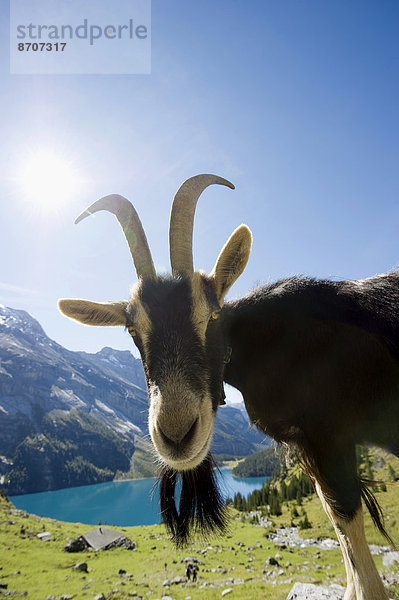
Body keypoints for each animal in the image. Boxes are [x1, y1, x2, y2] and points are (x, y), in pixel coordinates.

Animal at [59, 175, 399, 600]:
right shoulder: (308, 446)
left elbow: (348, 523)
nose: (177, 434)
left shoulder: (330, 435)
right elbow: (337, 523)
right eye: (133, 329)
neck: (276, 343)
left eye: (212, 314)